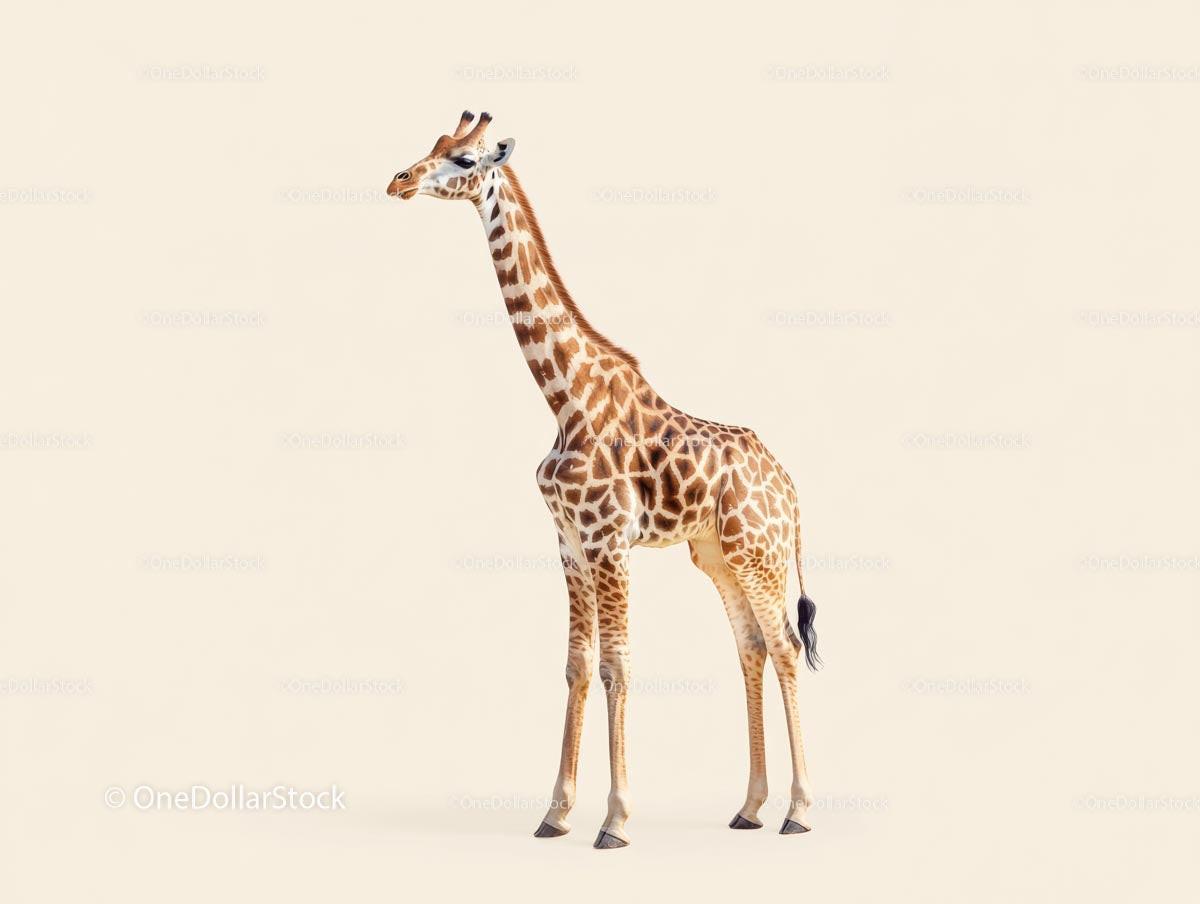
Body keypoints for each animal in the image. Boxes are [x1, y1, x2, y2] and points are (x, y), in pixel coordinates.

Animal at [387, 112, 821, 849]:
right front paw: (555, 814)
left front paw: (614, 821)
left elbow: (618, 665)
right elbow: (577, 665)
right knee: (753, 647)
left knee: (787, 647)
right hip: (717, 556)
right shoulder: (568, 543)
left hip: (755, 551)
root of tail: (791, 489)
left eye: (465, 158)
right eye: (432, 147)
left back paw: (798, 811)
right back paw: (750, 807)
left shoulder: (608, 540)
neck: (565, 398)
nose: (399, 180)